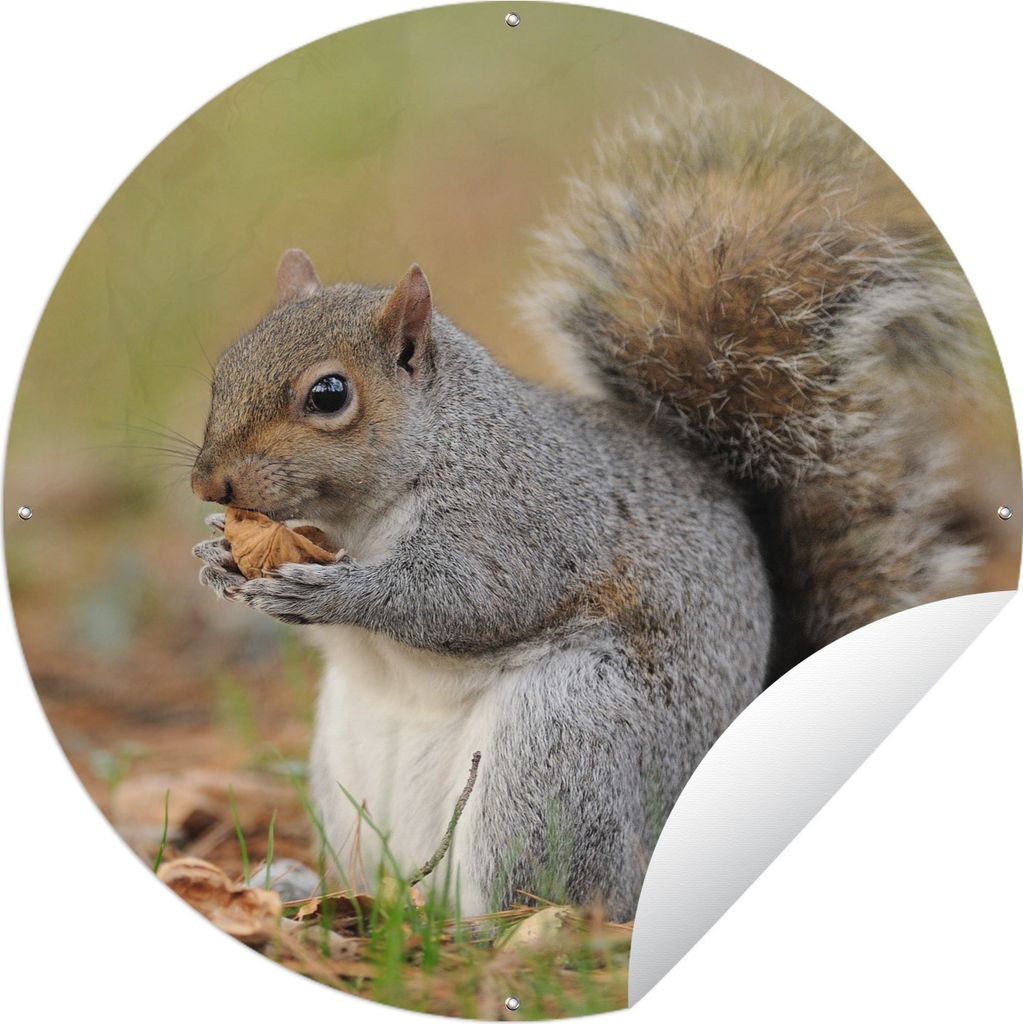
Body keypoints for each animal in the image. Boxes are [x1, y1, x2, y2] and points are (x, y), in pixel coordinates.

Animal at [191, 98, 986, 920]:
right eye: (224, 370)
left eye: (329, 394)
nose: (210, 484)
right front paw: (218, 557)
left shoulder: (521, 515)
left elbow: (471, 599)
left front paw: (333, 592)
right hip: (349, 777)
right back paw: (309, 888)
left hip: (563, 743)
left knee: (551, 894)